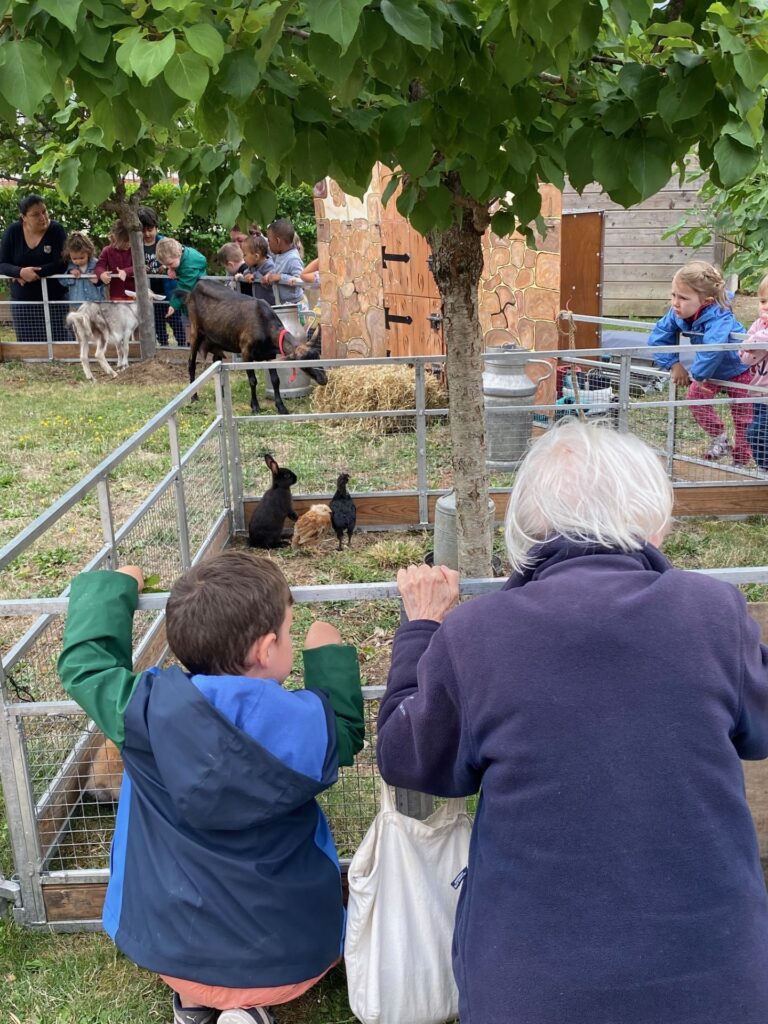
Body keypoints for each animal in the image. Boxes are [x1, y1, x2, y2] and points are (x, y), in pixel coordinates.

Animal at [184, 278, 327, 413]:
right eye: (304, 362)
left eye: (318, 357)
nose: (324, 379)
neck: (265, 326)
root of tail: (196, 286)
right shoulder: (246, 353)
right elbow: (253, 380)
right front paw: (255, 406)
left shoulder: (270, 355)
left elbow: (275, 380)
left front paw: (281, 407)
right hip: (195, 331)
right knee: (191, 363)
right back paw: (194, 397)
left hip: (217, 340)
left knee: (216, 360)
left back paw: (222, 394)